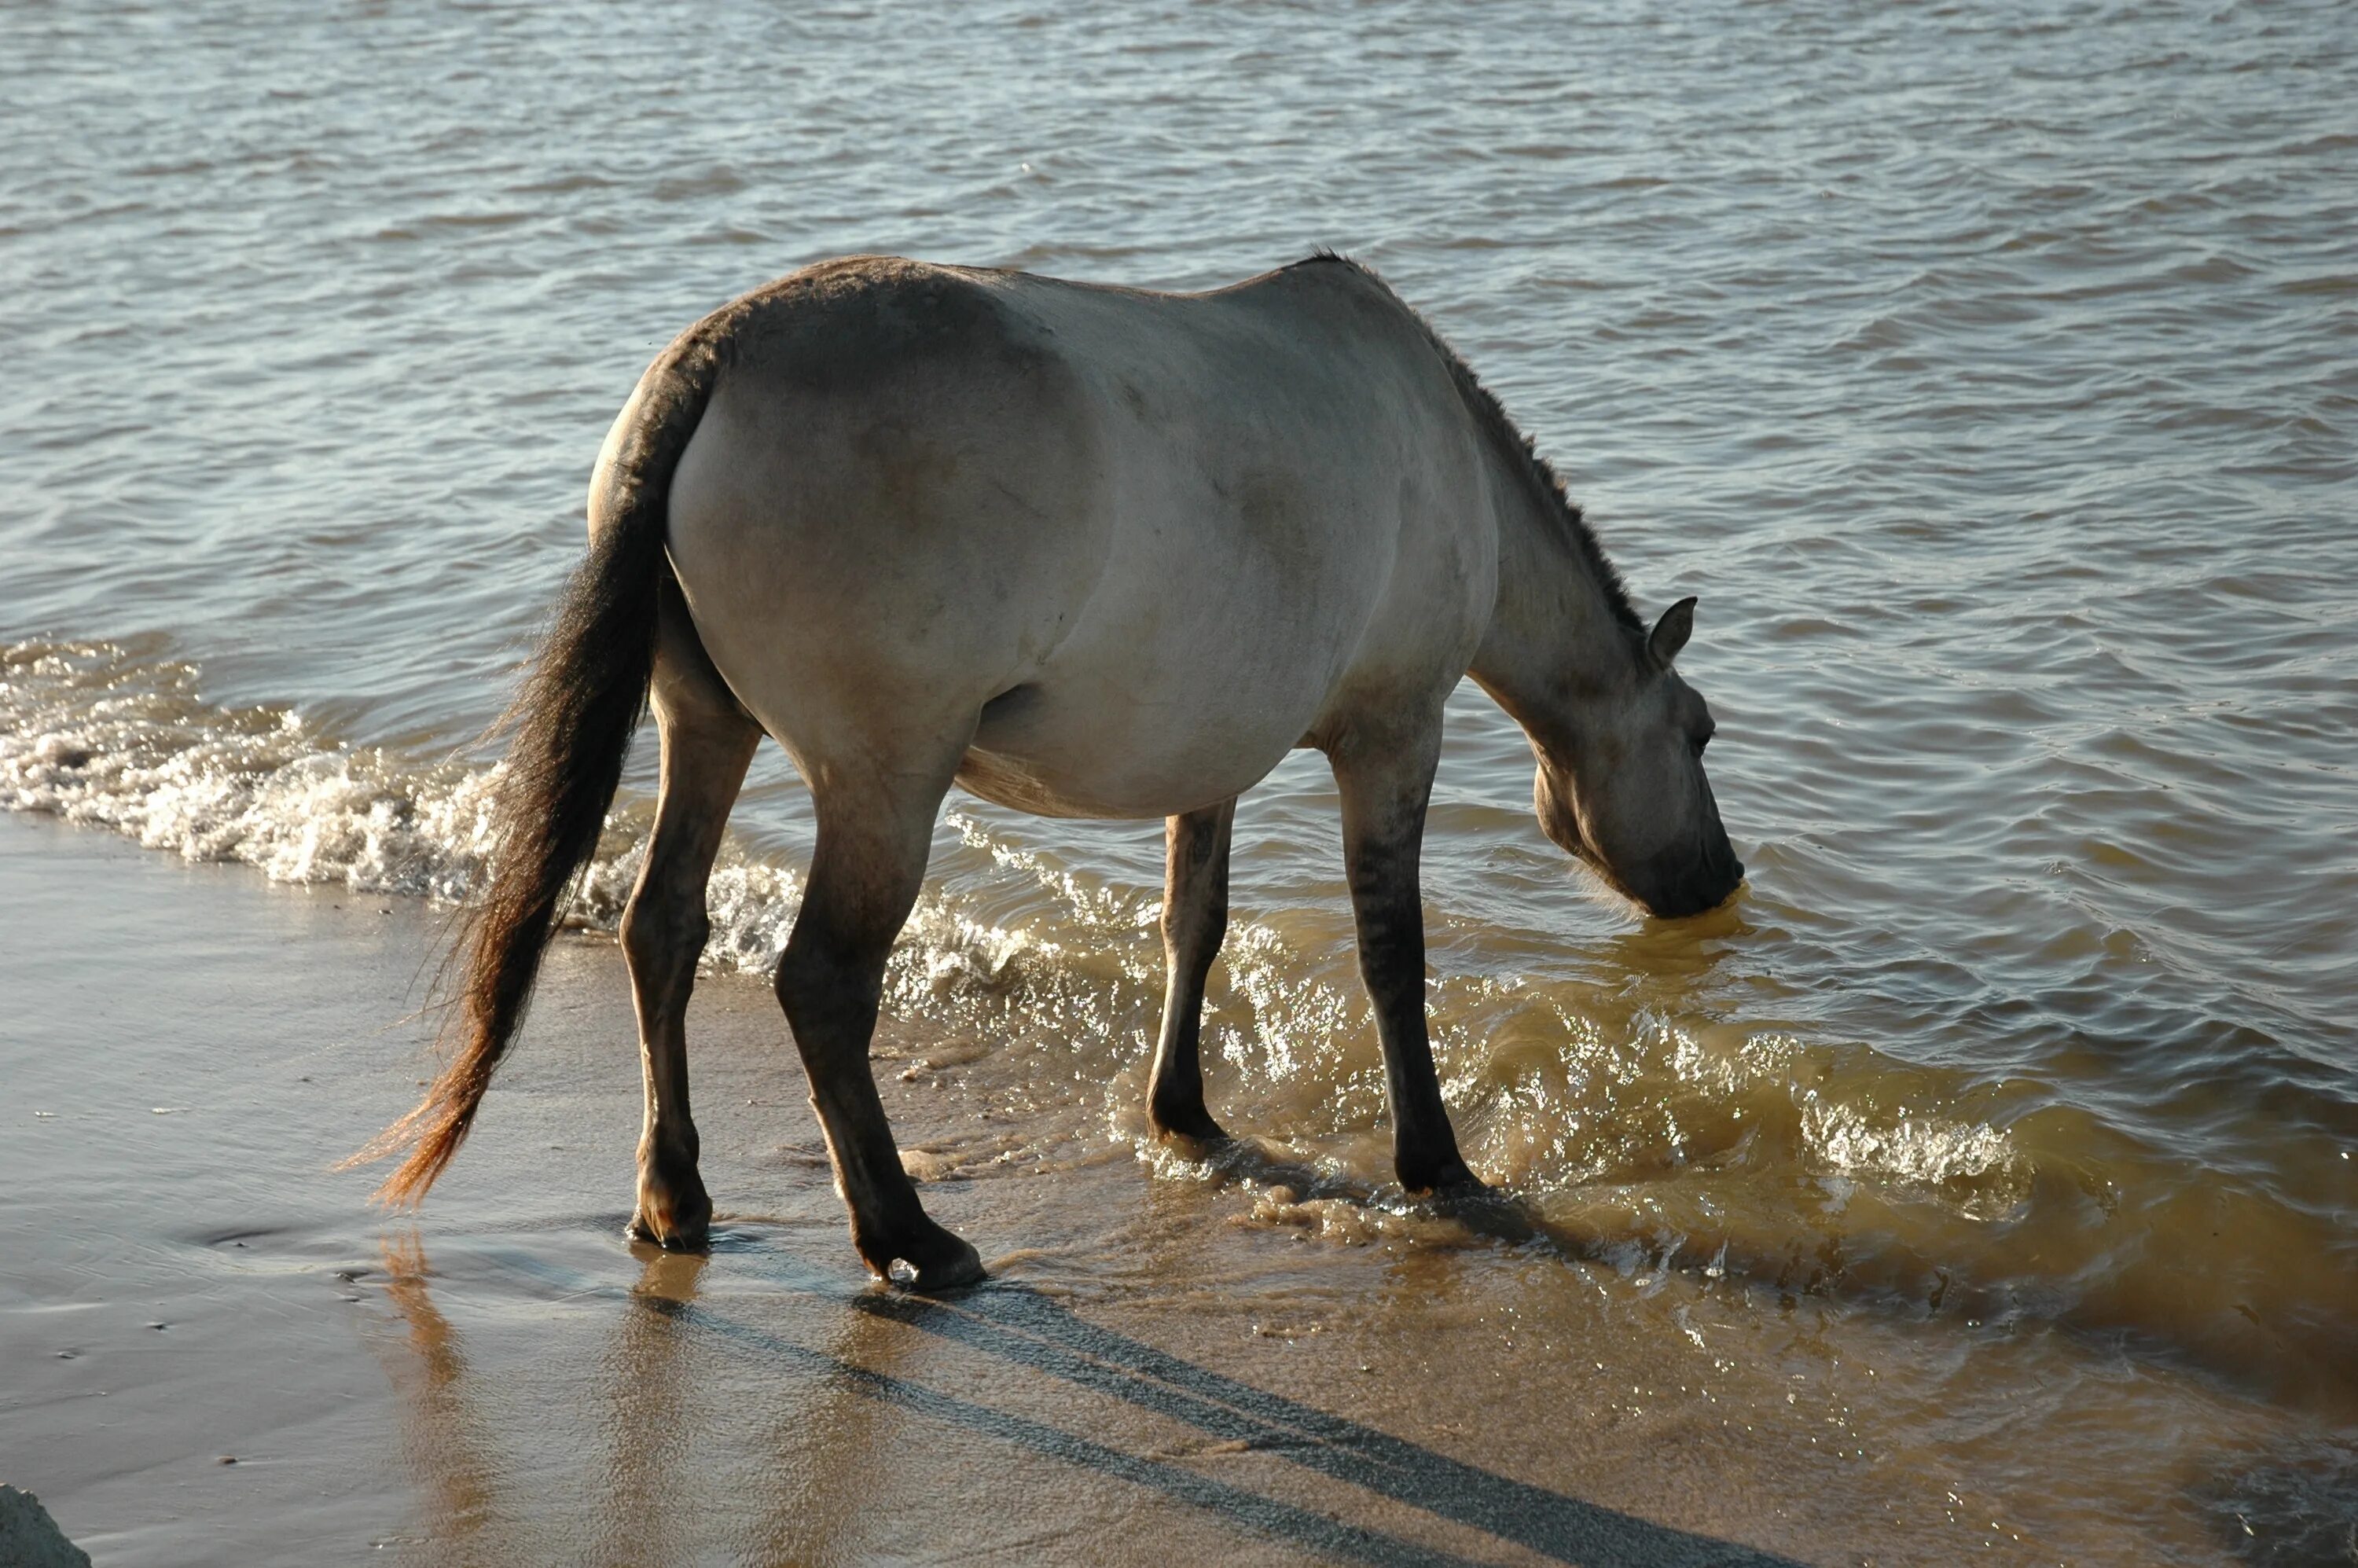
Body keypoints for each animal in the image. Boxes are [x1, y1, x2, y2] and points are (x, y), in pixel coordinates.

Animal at [358, 253, 1745, 1283]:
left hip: (707, 724)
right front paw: (1435, 1157)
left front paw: (1182, 1110)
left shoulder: (1212, 749)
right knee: (822, 982)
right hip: (887, 776)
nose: (1719, 877)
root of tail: (716, 359)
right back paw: (907, 1234)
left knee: (663, 928)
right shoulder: (1394, 731)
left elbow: (1197, 922)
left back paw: (676, 1193)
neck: (1439, 443)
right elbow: (1392, 955)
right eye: (1699, 730)